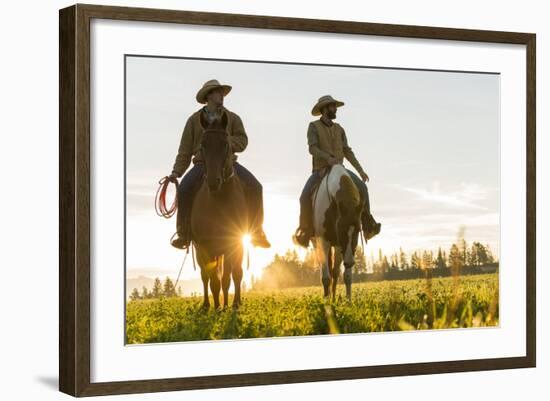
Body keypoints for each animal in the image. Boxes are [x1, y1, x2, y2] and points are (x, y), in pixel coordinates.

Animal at [191, 112, 249, 310]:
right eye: (202, 145)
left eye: (225, 144)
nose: (213, 182)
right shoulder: (207, 246)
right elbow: (214, 279)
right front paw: (217, 307)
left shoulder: (235, 242)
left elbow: (234, 275)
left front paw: (235, 304)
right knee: (205, 277)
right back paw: (208, 304)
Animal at [312, 163, 364, 300]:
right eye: (341, 229)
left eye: (358, 230)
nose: (350, 262)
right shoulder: (324, 241)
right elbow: (325, 278)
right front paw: (326, 300)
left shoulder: (343, 246)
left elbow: (346, 276)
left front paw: (348, 300)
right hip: (318, 245)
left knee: (334, 272)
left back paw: (333, 297)